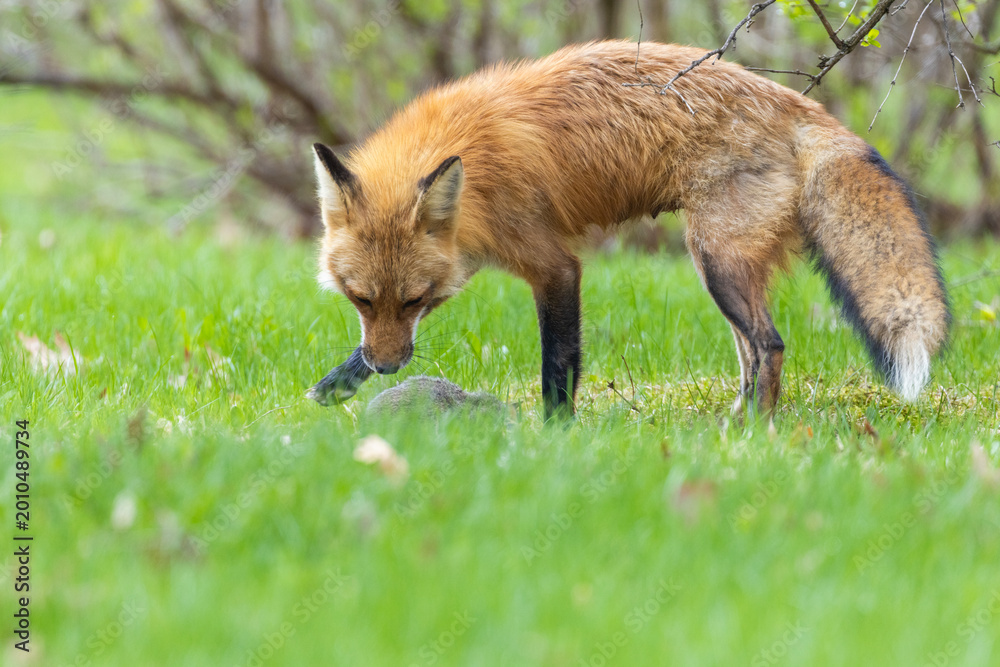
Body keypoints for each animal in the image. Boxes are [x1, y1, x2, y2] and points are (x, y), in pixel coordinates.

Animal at [306, 40, 950, 418]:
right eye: (360, 299)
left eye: (415, 297)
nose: (389, 371)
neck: (472, 163)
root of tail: (800, 105)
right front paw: (338, 383)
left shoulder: (554, 266)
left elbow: (558, 363)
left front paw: (554, 437)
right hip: (721, 268)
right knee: (749, 353)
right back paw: (733, 424)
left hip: (715, 259)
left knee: (769, 346)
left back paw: (754, 437)